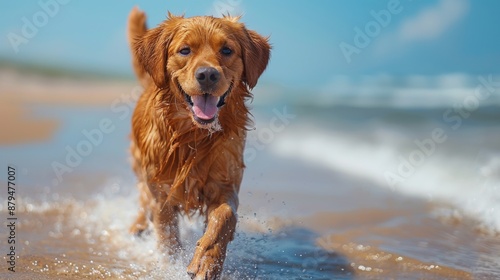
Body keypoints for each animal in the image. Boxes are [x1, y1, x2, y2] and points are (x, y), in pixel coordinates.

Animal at [127, 6, 272, 280]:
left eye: (227, 50)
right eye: (185, 50)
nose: (207, 74)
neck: (193, 137)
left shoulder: (226, 182)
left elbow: (223, 218)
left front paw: (207, 260)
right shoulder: (162, 193)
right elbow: (168, 237)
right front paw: (170, 265)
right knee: (142, 197)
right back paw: (138, 225)